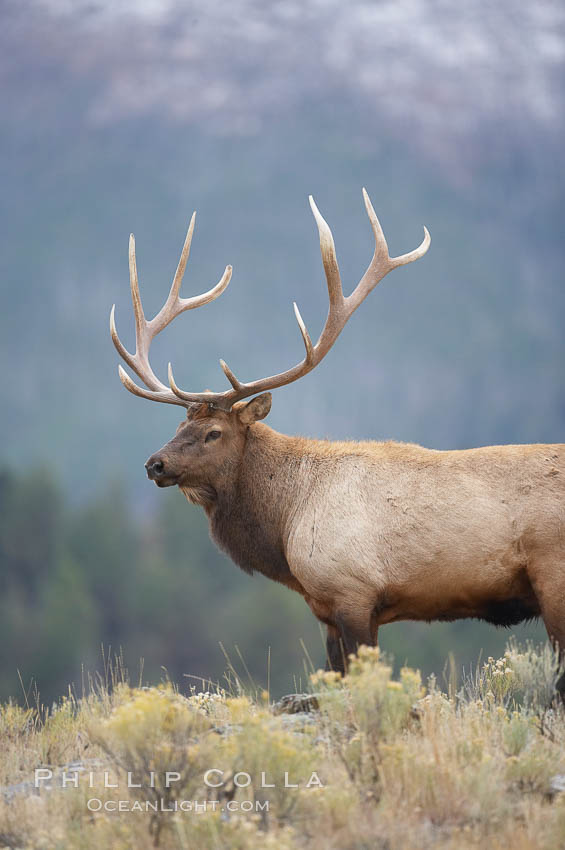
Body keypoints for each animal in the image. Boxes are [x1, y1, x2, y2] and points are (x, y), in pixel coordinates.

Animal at [111, 189, 564, 684]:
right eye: (179, 427)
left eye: (213, 433)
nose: (155, 464)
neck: (286, 524)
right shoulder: (326, 610)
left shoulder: (353, 593)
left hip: (554, 576)